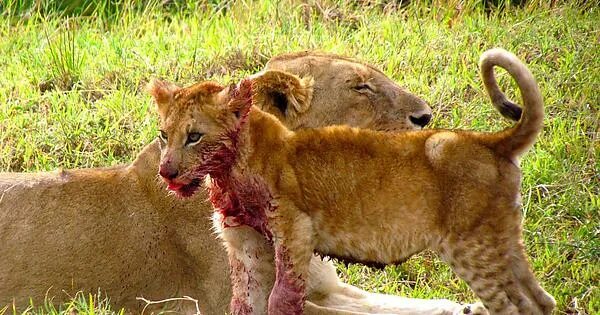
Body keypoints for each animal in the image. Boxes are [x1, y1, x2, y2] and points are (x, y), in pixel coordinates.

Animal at [0, 53, 482, 314]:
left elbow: (396, 304)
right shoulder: (226, 303)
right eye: (360, 87)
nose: (426, 116)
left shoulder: (325, 286)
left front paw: (470, 305)